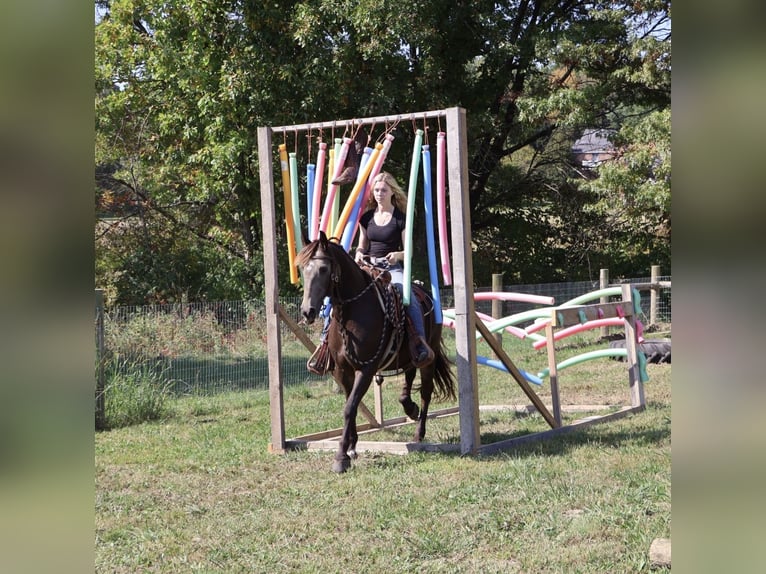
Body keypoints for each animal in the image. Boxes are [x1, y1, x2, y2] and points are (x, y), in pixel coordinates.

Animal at [297, 231, 456, 473]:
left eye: (323, 269)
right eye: (302, 268)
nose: (308, 311)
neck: (353, 312)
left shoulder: (366, 369)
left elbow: (350, 407)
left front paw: (341, 457)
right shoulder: (343, 370)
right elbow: (350, 404)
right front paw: (352, 447)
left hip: (430, 355)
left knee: (426, 391)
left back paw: (418, 433)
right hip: (407, 356)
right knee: (409, 377)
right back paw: (409, 407)